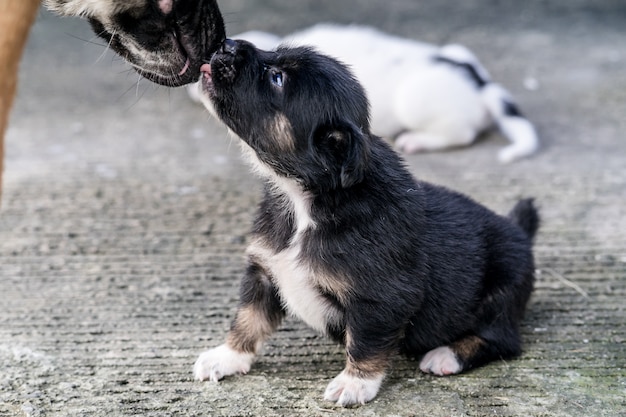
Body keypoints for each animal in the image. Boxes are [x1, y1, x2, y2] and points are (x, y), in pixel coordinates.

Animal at [193, 38, 540, 404]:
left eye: (277, 78)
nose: (227, 44)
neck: (309, 200)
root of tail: (520, 231)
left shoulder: (379, 298)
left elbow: (365, 342)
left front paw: (355, 382)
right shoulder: (264, 271)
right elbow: (249, 318)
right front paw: (226, 356)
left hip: (502, 292)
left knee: (502, 340)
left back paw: (447, 355)